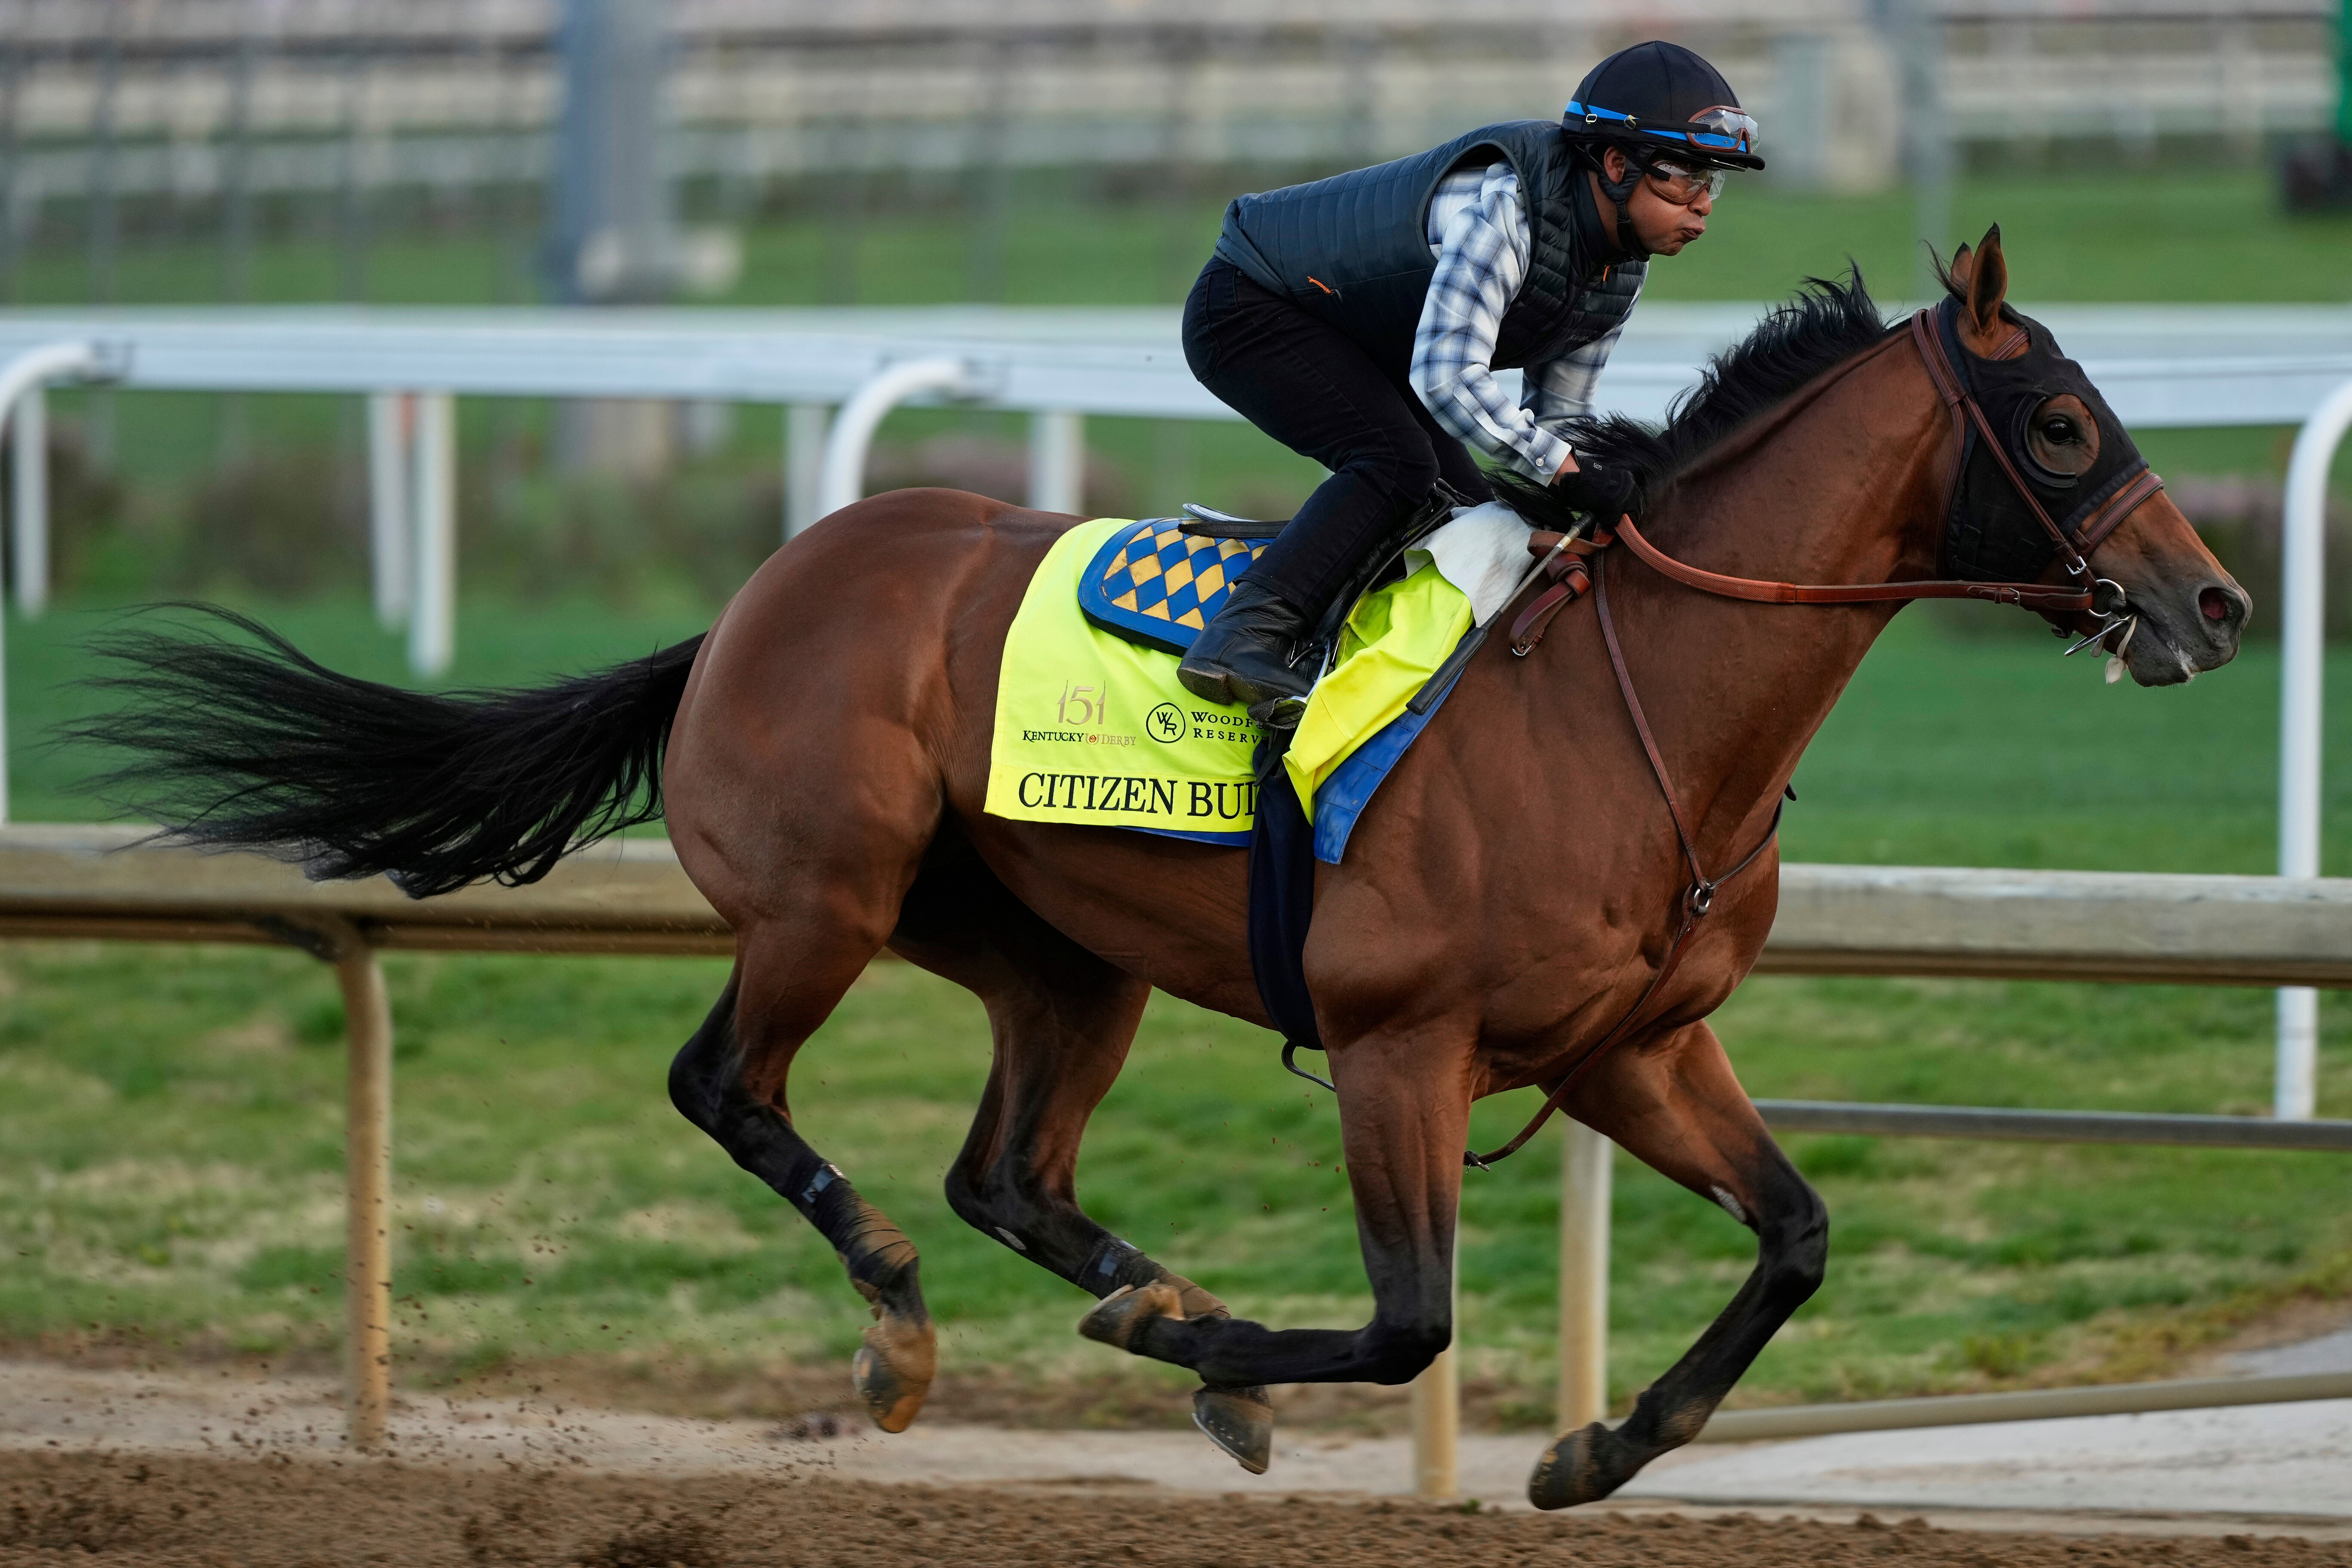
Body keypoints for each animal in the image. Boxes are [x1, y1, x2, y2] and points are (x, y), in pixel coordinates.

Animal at [82, 229, 2246, 1508]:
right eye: (2062, 419)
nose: (2215, 601)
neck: (1638, 705)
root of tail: (760, 595)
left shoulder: (1635, 1047)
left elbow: (1795, 1234)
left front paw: (1602, 1442)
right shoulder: (1398, 1038)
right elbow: (1409, 1316)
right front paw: (1218, 1356)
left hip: (1060, 956)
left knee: (1010, 1171)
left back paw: (1145, 1300)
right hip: (823, 897)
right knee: (732, 1085)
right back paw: (915, 1325)